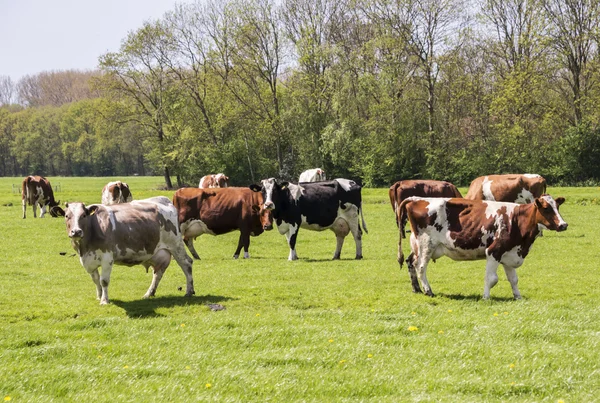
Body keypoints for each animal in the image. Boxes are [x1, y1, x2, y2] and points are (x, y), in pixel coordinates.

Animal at [65, 197, 197, 304]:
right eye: (66, 216)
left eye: (83, 215)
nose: (76, 231)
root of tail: (164, 200)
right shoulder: (88, 260)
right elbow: (96, 280)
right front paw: (99, 296)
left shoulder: (107, 258)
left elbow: (104, 281)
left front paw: (104, 300)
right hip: (159, 253)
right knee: (158, 272)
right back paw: (149, 293)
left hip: (175, 245)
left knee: (186, 263)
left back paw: (189, 291)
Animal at [398, 196, 568, 300]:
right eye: (546, 208)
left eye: (557, 207)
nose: (563, 225)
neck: (517, 220)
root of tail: (416, 198)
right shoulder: (493, 251)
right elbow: (492, 278)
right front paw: (486, 297)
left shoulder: (509, 253)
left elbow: (514, 279)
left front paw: (518, 297)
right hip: (426, 245)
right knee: (420, 267)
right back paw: (428, 291)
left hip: (417, 246)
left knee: (410, 262)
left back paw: (416, 289)